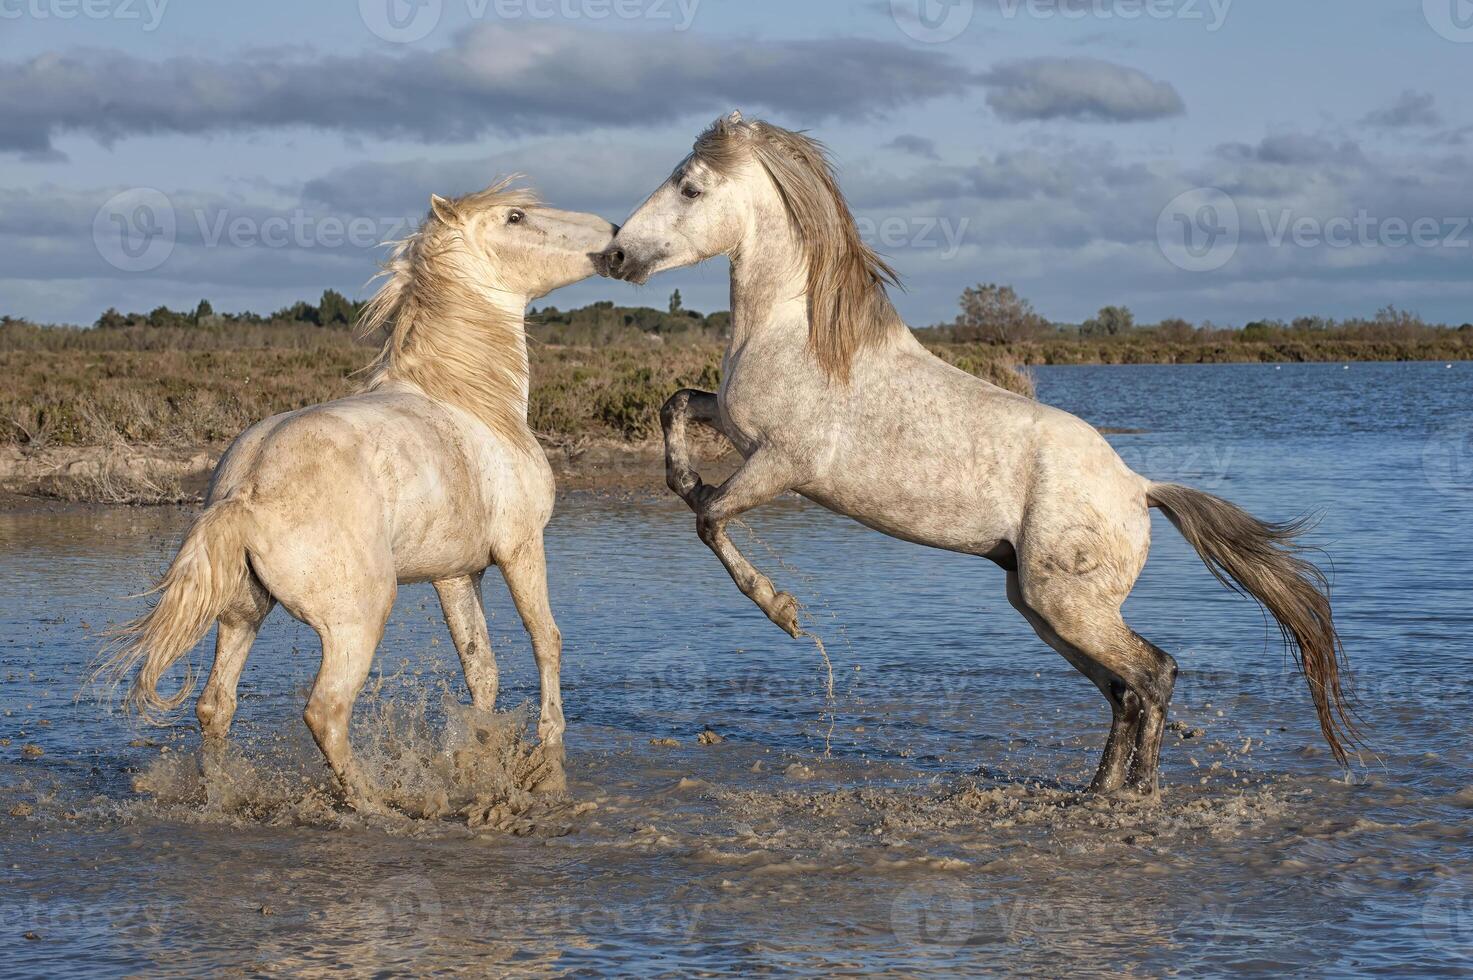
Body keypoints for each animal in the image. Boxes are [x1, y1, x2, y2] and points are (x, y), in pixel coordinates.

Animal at [100, 179, 612, 807]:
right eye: (515, 216)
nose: (615, 235)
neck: (471, 401)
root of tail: (247, 492)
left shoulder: (455, 573)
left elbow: (480, 668)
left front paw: (476, 754)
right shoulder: (521, 547)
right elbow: (546, 641)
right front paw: (548, 752)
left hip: (242, 613)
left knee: (215, 705)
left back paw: (222, 794)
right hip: (355, 622)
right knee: (326, 712)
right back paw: (377, 804)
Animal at [600, 112, 1355, 795]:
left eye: (691, 187)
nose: (614, 256)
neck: (795, 331)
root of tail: (1138, 487)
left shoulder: (779, 464)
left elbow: (709, 521)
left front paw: (781, 610)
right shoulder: (734, 428)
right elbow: (675, 409)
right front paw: (684, 478)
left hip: (1066, 604)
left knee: (1153, 673)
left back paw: (1137, 794)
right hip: (1039, 605)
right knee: (1122, 690)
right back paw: (1097, 789)